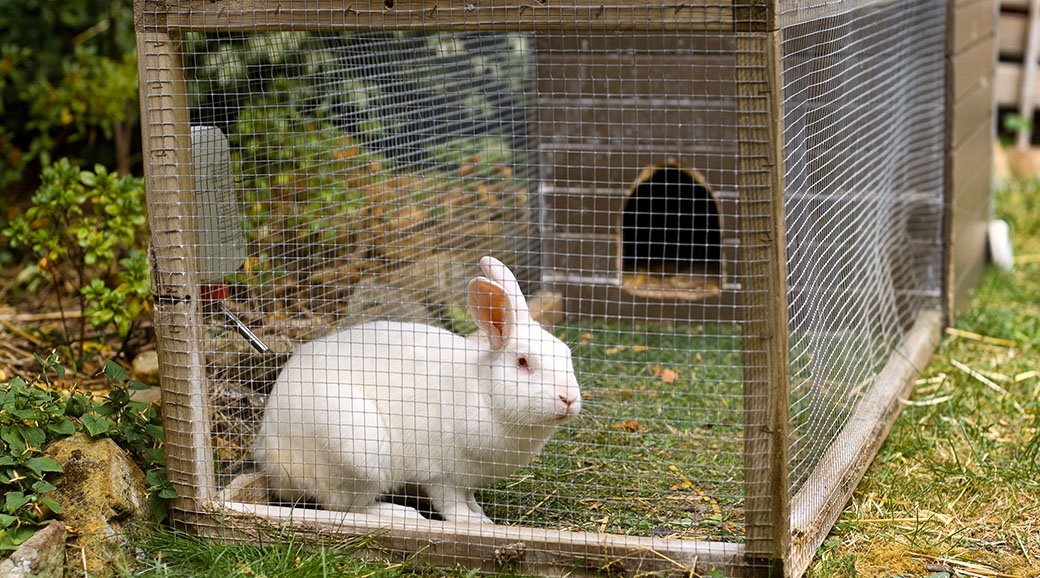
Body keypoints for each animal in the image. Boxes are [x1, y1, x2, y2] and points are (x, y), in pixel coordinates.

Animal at [253, 256, 581, 524]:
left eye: (567, 354)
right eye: (523, 362)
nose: (569, 398)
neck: (485, 393)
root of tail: (271, 457)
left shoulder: (467, 478)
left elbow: (469, 498)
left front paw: (479, 513)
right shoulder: (441, 474)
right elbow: (451, 504)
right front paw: (475, 523)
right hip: (357, 450)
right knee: (346, 506)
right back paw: (402, 514)